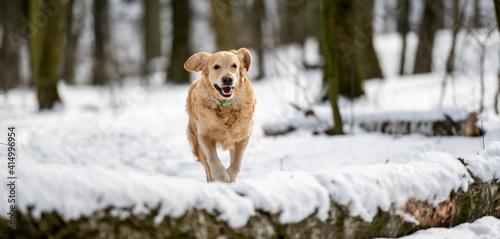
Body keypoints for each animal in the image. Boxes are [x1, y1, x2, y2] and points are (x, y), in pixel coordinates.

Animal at [184, 48, 256, 183]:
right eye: (216, 66)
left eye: (234, 65)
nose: (227, 79)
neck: (226, 106)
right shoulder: (204, 136)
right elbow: (213, 159)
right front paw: (222, 176)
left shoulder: (242, 136)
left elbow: (237, 163)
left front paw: (231, 176)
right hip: (196, 141)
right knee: (208, 167)